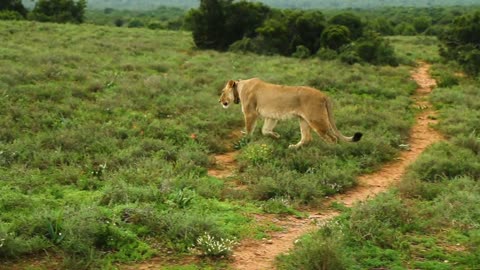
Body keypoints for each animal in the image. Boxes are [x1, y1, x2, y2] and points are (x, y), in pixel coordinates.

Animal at [219, 78, 362, 149]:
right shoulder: (271, 116)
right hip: (303, 120)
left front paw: (245, 140)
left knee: (333, 139)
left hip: (316, 120)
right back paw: (293, 147)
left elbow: (249, 129)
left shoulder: (250, 113)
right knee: (307, 138)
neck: (240, 87)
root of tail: (324, 95)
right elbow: (265, 130)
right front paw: (276, 136)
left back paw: (331, 152)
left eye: (222, 91)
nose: (219, 101)